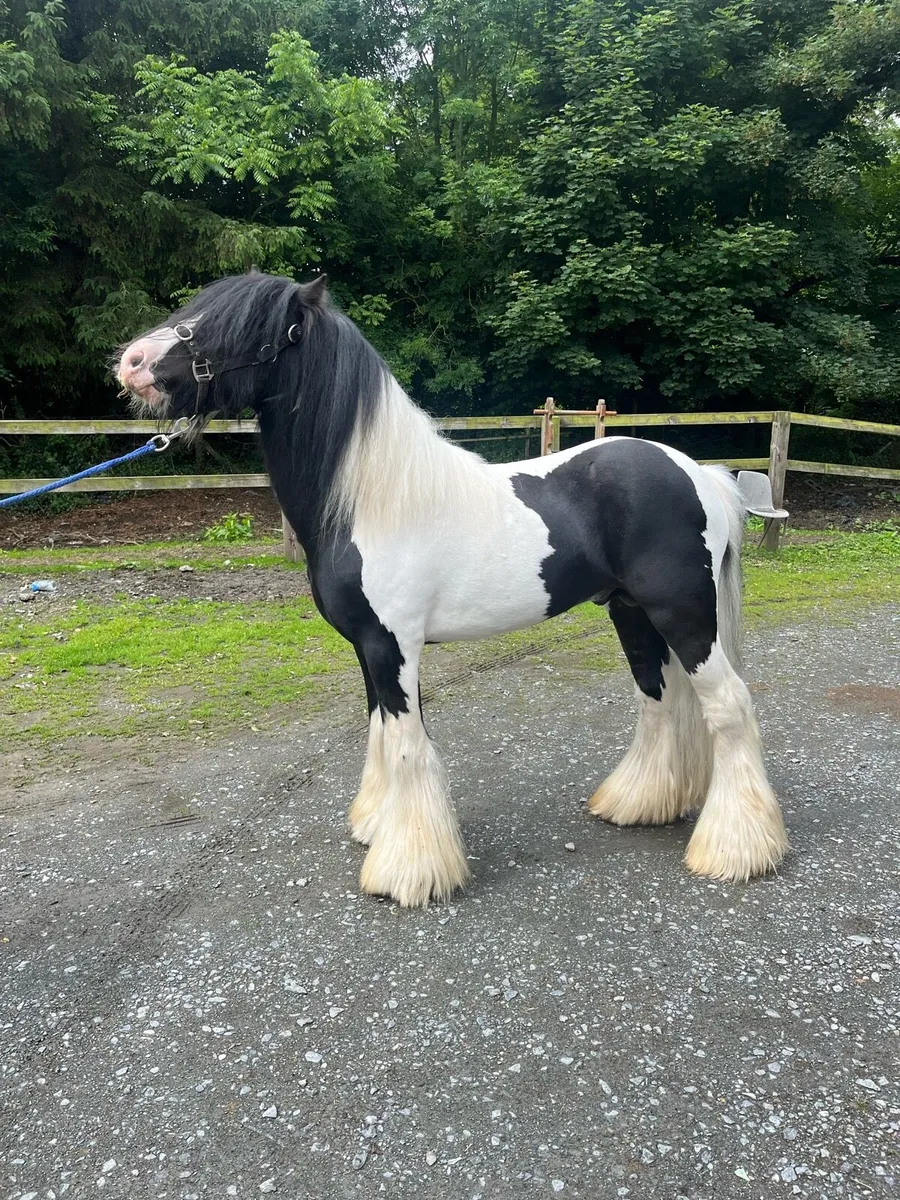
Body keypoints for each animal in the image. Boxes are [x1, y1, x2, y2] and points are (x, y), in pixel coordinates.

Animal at [116, 270, 788, 907]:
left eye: (240, 326)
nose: (132, 362)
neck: (373, 503)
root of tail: (698, 473)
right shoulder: (368, 648)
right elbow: (381, 733)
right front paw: (376, 824)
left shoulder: (394, 647)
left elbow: (408, 746)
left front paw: (407, 871)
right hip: (631, 611)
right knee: (660, 698)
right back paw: (638, 803)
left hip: (684, 613)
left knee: (729, 705)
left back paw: (736, 850)